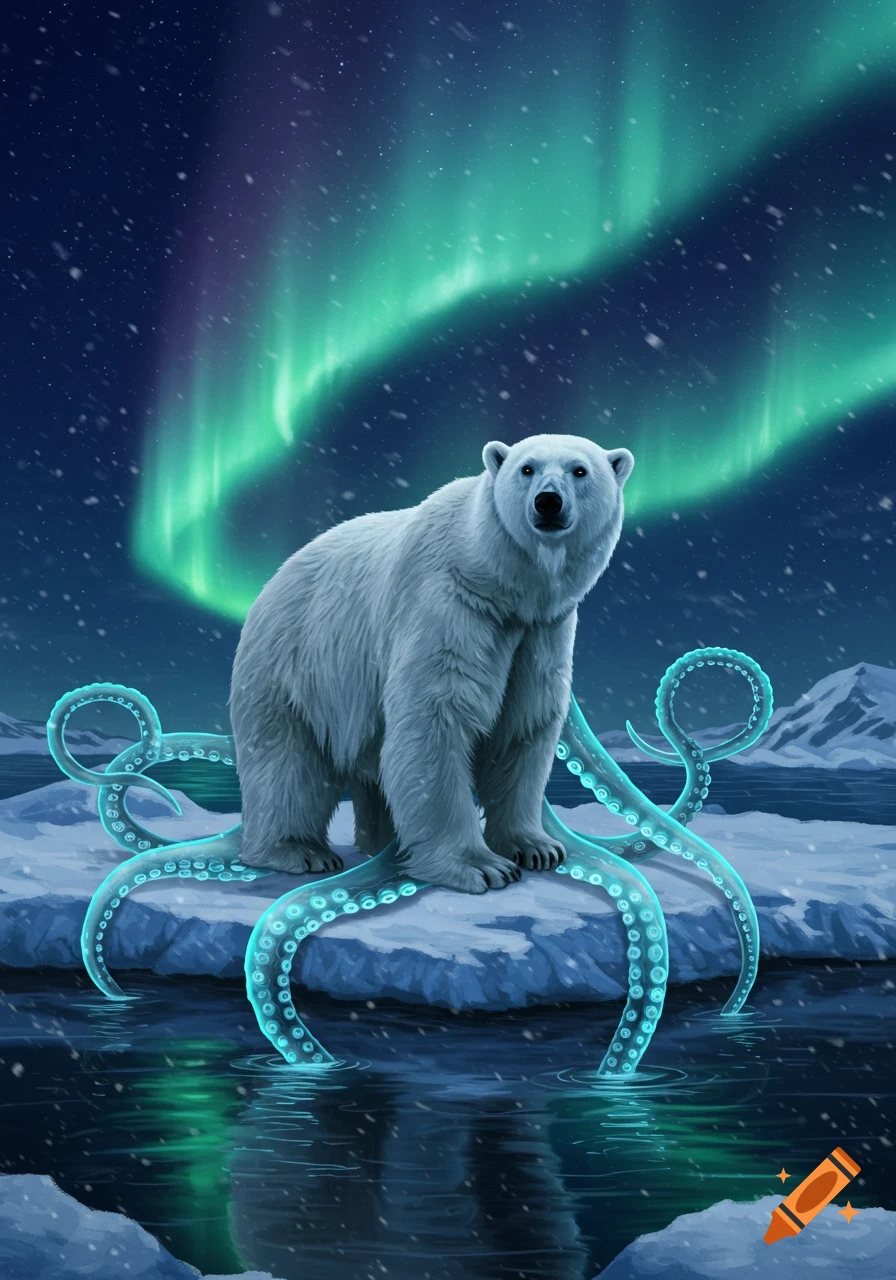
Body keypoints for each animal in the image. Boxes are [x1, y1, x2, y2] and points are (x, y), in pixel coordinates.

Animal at [228, 433, 634, 894]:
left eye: (579, 470)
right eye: (526, 468)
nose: (548, 502)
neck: (503, 584)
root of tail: (271, 583)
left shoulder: (541, 632)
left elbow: (522, 726)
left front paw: (536, 847)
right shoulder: (449, 603)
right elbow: (435, 720)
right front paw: (481, 866)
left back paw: (381, 845)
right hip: (294, 664)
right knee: (287, 761)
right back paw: (301, 851)